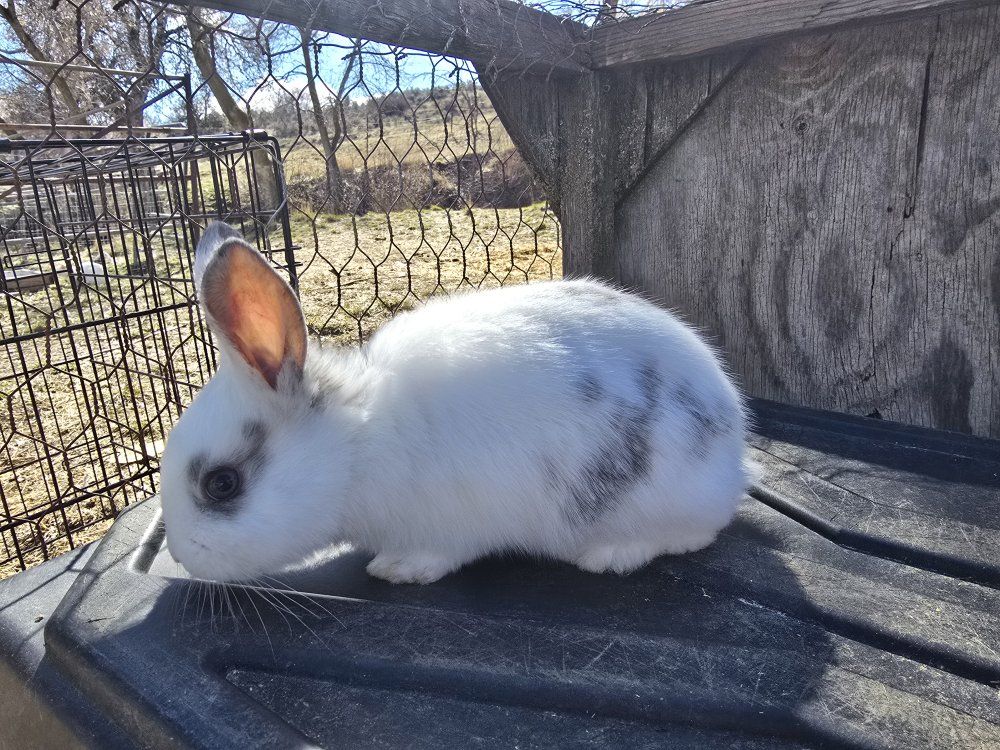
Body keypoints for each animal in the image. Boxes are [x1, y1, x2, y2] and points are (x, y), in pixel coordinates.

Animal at [159, 221, 754, 585]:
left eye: (222, 484)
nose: (182, 555)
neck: (357, 448)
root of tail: (733, 446)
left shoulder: (448, 527)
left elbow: (438, 555)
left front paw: (397, 570)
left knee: (698, 533)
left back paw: (609, 555)